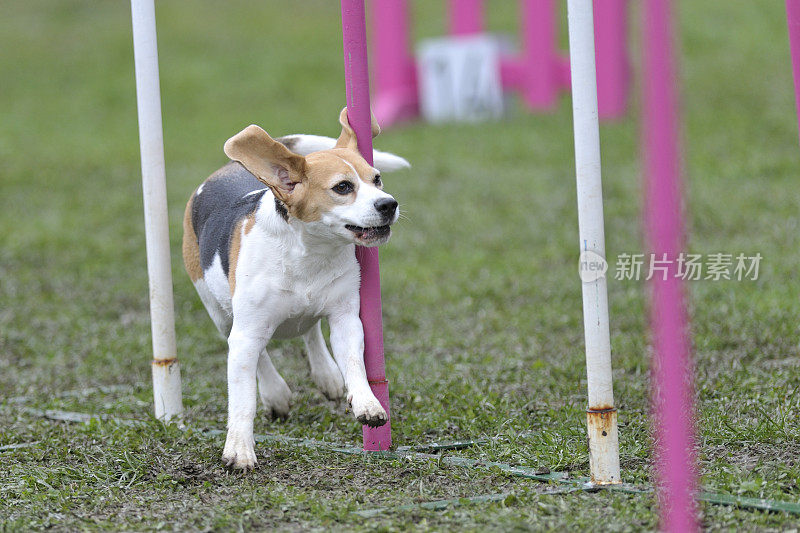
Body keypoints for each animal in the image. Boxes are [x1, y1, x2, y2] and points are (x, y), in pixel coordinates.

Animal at [181, 109, 406, 470]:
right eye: (343, 187)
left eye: (377, 179)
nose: (389, 204)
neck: (310, 252)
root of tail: (225, 169)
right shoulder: (246, 333)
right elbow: (243, 397)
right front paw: (239, 448)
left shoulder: (345, 318)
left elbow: (354, 362)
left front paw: (367, 402)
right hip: (220, 313)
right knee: (257, 355)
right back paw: (276, 394)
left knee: (310, 330)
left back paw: (327, 375)